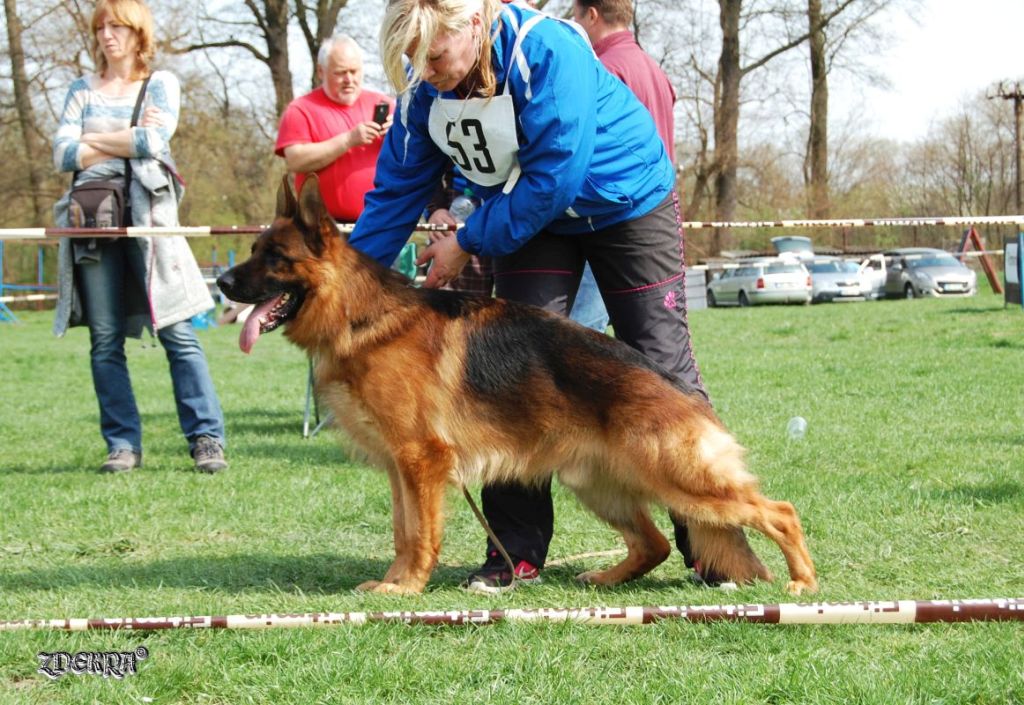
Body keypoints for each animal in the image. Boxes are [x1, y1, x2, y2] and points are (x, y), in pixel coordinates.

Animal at [216, 176, 815, 594]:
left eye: (275, 258)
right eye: (253, 251)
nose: (221, 283)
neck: (361, 317)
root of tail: (682, 392)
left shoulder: (421, 461)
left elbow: (419, 534)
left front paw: (405, 588)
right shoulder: (399, 468)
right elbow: (402, 531)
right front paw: (394, 580)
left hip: (678, 479)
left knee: (779, 512)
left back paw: (803, 583)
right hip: (595, 483)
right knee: (654, 544)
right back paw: (606, 578)